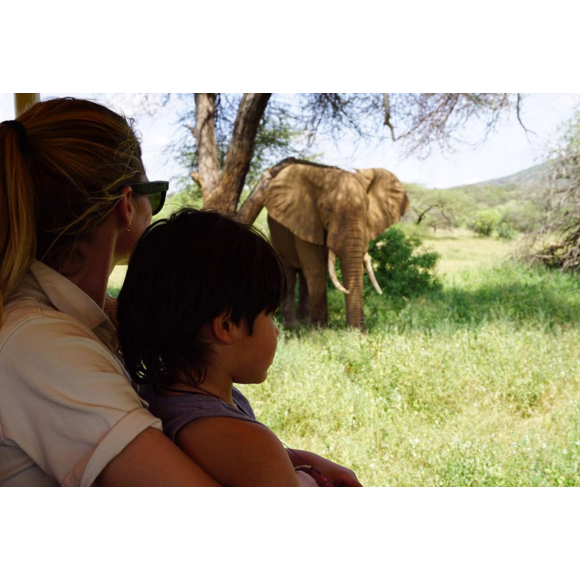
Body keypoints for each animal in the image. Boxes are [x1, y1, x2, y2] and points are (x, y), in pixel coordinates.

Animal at [238, 159, 410, 330]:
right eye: (327, 209)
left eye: (367, 209)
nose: (360, 331)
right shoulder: (305, 218)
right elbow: (316, 269)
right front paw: (320, 331)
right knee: (291, 274)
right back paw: (293, 327)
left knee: (304, 275)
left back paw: (304, 321)